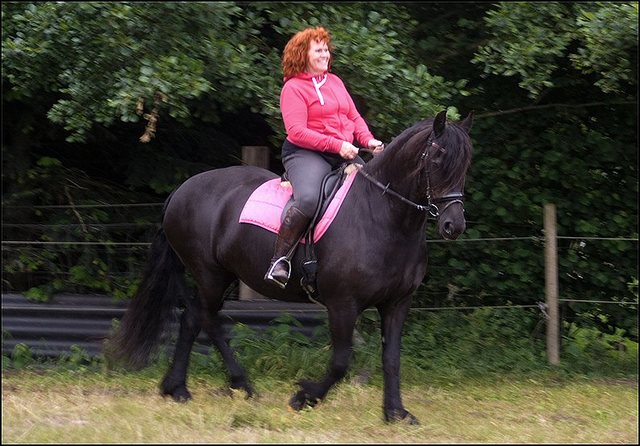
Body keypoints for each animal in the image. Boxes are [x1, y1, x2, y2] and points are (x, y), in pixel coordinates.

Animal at [105, 110, 472, 424]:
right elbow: (341, 361)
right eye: (437, 158)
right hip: (209, 274)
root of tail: (180, 191)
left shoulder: (397, 304)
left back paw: (180, 388)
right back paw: (234, 384)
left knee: (194, 319)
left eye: (466, 163)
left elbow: (392, 358)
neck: (383, 217)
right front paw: (304, 397)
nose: (453, 226)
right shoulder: (343, 303)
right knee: (205, 318)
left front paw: (396, 413)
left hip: (223, 275)